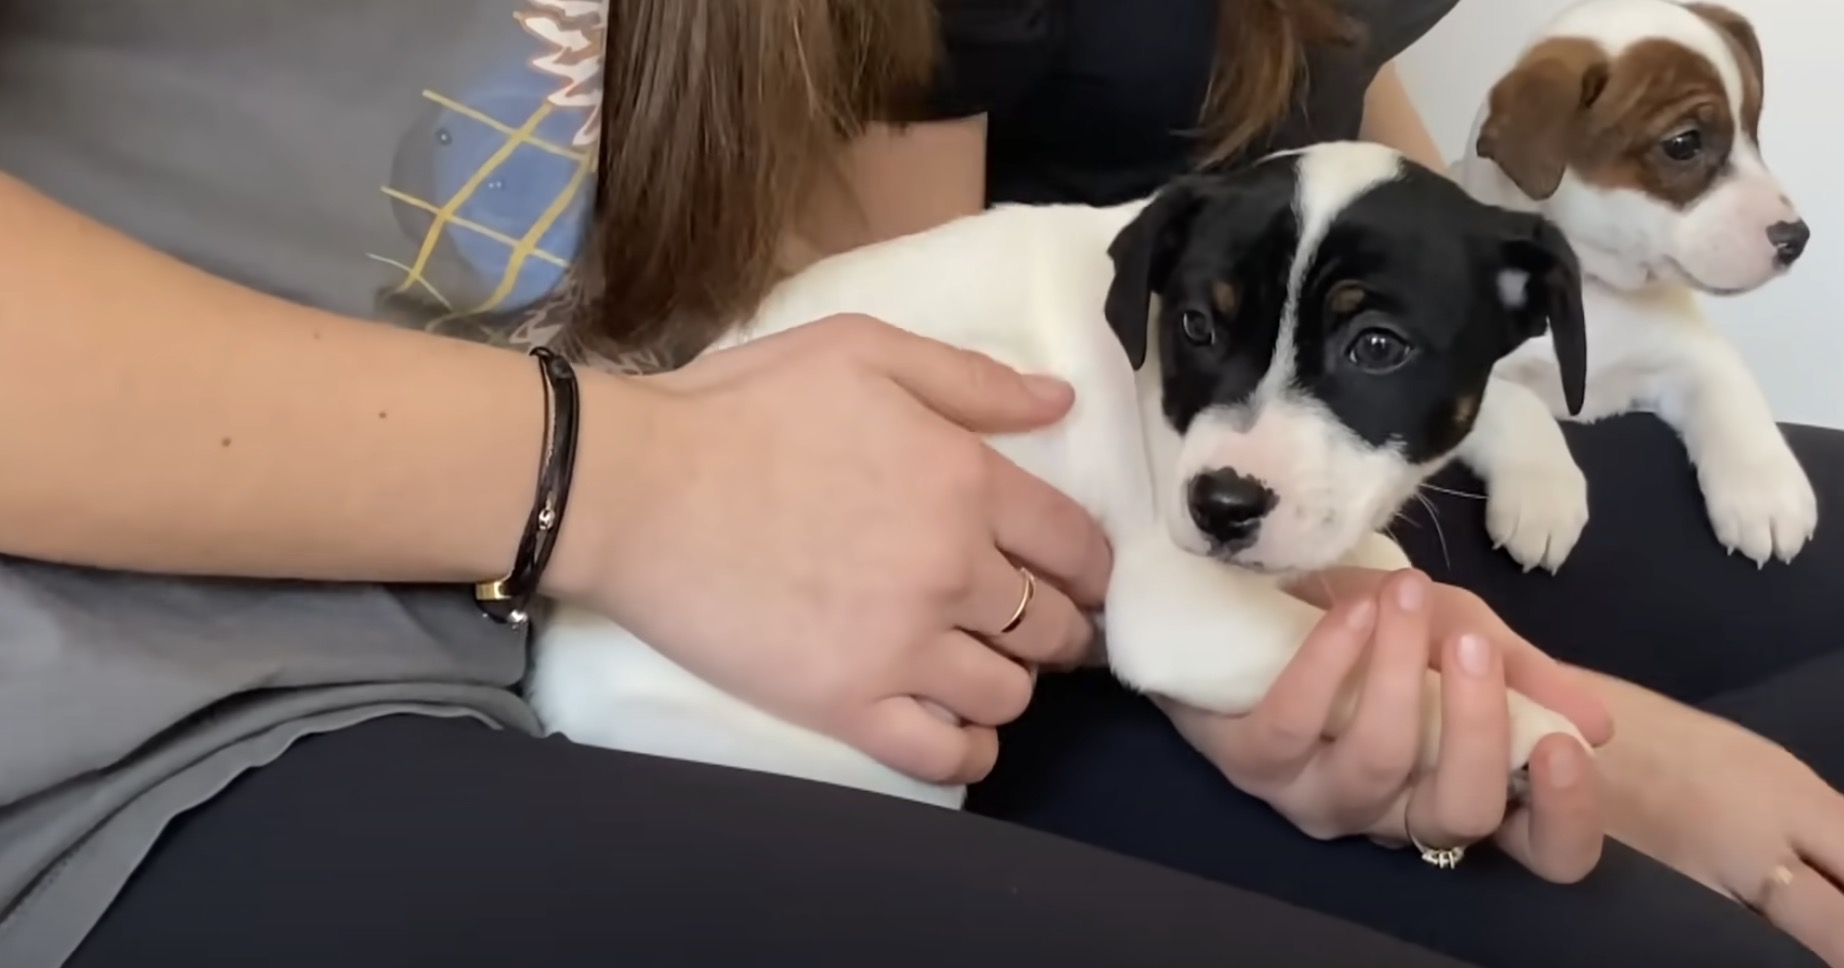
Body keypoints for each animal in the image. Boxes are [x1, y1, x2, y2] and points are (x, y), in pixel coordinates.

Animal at [531, 139, 1585, 811]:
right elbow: (1353, 654)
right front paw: (1530, 725)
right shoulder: (1178, 608)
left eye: (1379, 348)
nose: (1222, 507)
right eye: (1196, 326)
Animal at [1438, 0, 1814, 571]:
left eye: (1753, 129)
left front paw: (1766, 491)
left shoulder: (1690, 355)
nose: (1797, 239)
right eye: (1683, 144)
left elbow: (1734, 399)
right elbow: (1518, 405)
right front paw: (1544, 492)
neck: (1595, 294)